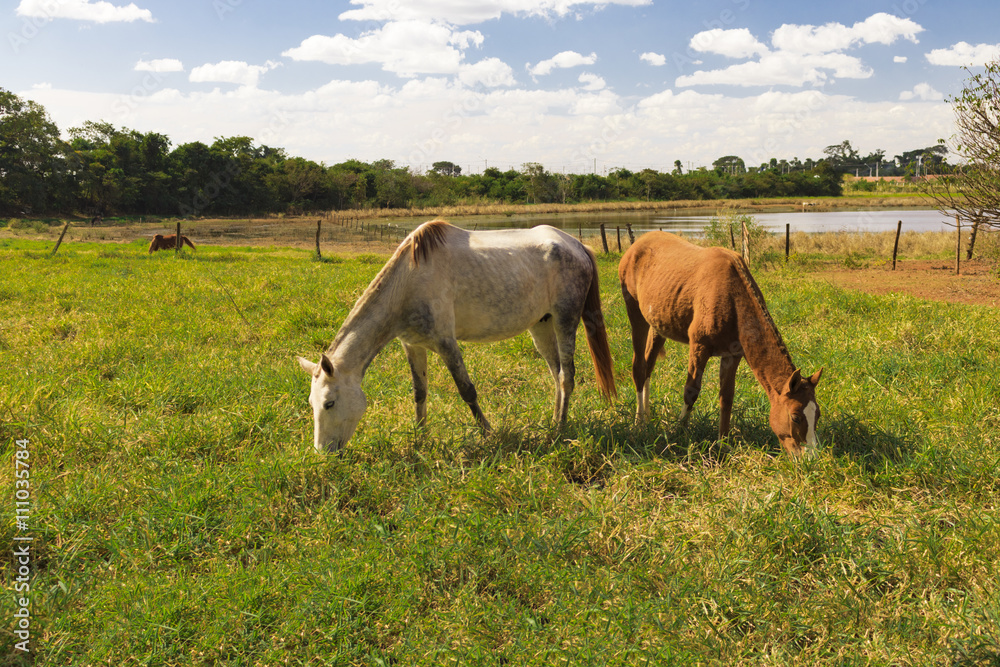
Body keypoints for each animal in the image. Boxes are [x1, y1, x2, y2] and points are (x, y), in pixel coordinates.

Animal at [294, 219, 616, 454]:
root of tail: (577, 245)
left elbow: (467, 390)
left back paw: (560, 430)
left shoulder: (446, 343)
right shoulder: (412, 345)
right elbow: (419, 392)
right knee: (556, 374)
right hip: (541, 325)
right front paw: (421, 438)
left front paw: (489, 435)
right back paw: (553, 422)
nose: (323, 452)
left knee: (567, 376)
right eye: (311, 404)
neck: (407, 282)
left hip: (565, 319)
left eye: (329, 403)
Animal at [620, 232, 824, 456]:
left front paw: (723, 443)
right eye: (795, 417)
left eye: (818, 414)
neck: (732, 296)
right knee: (639, 367)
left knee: (649, 365)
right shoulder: (699, 347)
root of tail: (637, 244)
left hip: (658, 324)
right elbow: (691, 391)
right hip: (635, 312)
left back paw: (647, 416)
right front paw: (680, 433)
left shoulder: (732, 355)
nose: (810, 458)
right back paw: (639, 421)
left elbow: (727, 398)